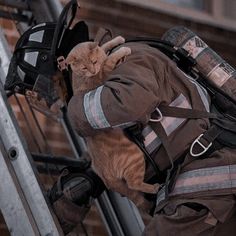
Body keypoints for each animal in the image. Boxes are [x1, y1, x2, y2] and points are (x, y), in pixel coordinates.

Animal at [65, 36, 159, 209]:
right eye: (84, 67)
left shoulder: (101, 58)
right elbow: (111, 59)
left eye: (93, 62)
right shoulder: (105, 73)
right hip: (136, 156)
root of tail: (105, 177)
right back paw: (154, 188)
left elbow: (104, 47)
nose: (93, 71)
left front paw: (116, 40)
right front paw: (123, 50)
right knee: (133, 184)